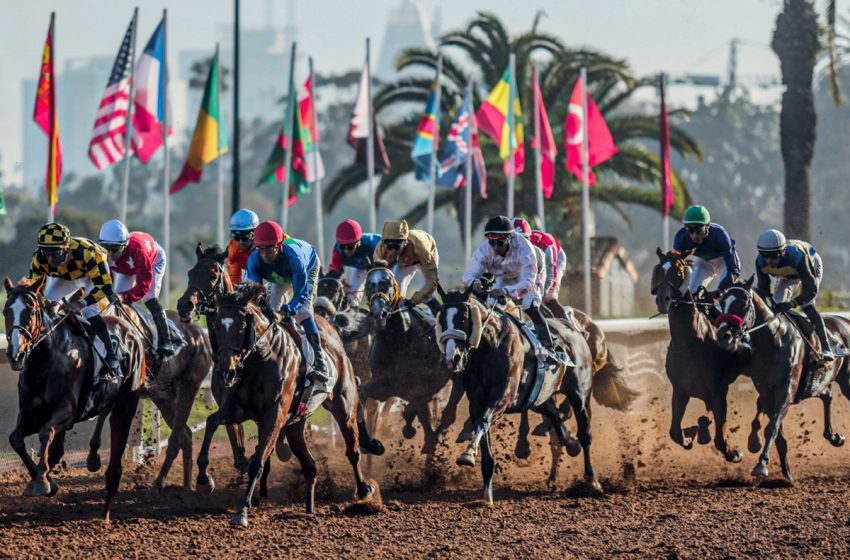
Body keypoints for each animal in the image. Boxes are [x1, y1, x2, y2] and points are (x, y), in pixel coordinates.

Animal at [2, 276, 146, 524]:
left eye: (30, 311)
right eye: (5, 311)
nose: (15, 354)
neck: (46, 359)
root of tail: (130, 330)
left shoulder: (67, 411)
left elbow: (46, 433)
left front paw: (42, 482)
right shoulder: (30, 414)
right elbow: (16, 439)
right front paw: (45, 481)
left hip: (126, 405)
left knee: (115, 466)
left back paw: (104, 515)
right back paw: (91, 459)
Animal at [197, 282, 376, 528]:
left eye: (241, 326)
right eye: (216, 326)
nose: (226, 372)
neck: (261, 358)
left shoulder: (275, 414)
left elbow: (258, 462)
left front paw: (242, 510)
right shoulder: (239, 409)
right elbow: (211, 422)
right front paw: (204, 478)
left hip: (344, 408)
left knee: (353, 451)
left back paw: (363, 491)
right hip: (295, 426)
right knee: (310, 466)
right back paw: (309, 510)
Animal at [648, 247, 748, 462]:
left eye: (678, 272)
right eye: (658, 270)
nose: (662, 300)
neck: (690, 342)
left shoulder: (718, 391)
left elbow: (720, 437)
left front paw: (733, 452)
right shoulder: (680, 390)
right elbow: (675, 432)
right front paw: (690, 436)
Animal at [716, 278, 848, 480]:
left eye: (744, 303)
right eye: (722, 302)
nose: (724, 335)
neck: (774, 341)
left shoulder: (786, 389)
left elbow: (772, 427)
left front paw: (761, 465)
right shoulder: (766, 390)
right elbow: (777, 432)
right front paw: (784, 471)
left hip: (846, 380)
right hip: (816, 383)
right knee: (827, 395)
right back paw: (834, 437)